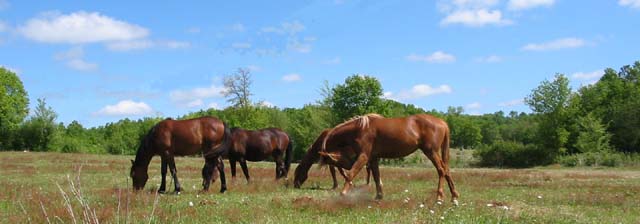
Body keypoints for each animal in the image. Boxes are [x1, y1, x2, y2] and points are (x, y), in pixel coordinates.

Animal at [296, 114, 460, 203]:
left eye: (298, 171)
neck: (359, 129)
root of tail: (442, 122)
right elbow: (376, 177)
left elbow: (351, 174)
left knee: (441, 170)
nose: (295, 185)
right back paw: (454, 197)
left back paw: (439, 196)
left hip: (431, 151)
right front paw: (379, 196)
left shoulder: (363, 156)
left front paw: (343, 193)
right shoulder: (373, 159)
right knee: (446, 170)